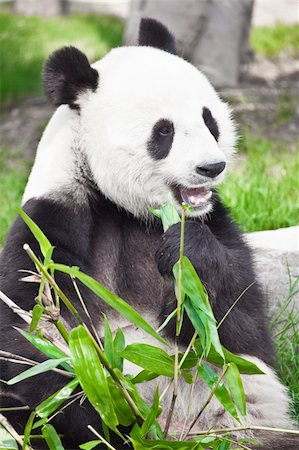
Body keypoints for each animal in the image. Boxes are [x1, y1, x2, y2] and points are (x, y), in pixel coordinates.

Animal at [0, 16, 296, 446]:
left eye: (209, 120)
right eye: (164, 132)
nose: (212, 167)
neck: (125, 210)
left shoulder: (218, 224)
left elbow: (241, 333)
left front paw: (186, 254)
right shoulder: (48, 227)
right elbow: (31, 341)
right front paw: (110, 415)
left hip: (250, 429)